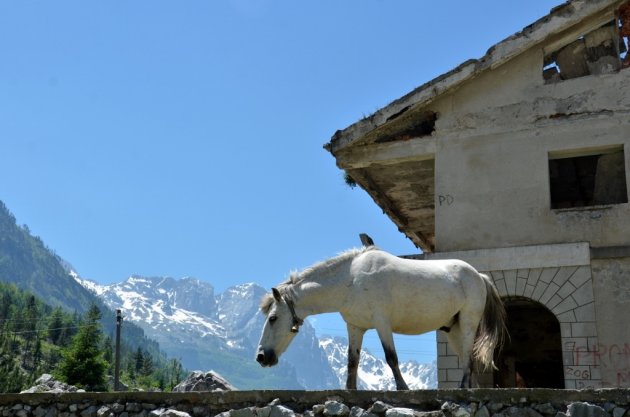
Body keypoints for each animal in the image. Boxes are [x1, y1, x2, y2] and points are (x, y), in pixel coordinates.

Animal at [256, 245, 508, 388]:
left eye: (273, 318)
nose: (261, 356)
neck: (351, 281)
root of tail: (479, 275)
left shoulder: (382, 323)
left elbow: (391, 358)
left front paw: (403, 388)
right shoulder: (355, 327)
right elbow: (352, 362)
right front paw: (350, 390)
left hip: (467, 323)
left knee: (468, 357)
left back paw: (463, 388)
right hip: (453, 329)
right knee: (468, 358)